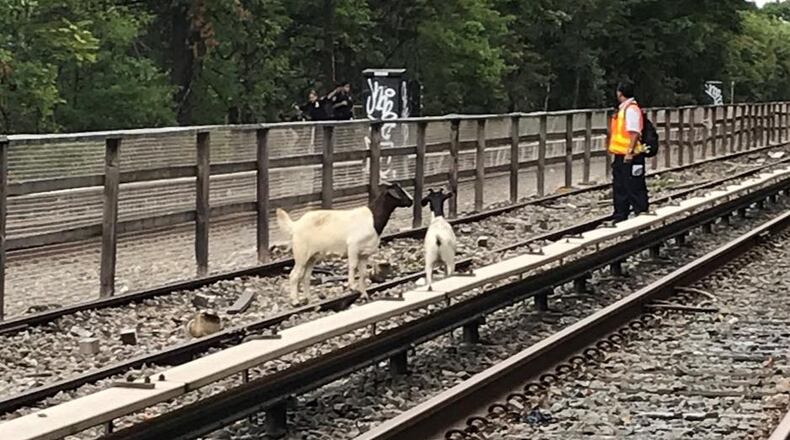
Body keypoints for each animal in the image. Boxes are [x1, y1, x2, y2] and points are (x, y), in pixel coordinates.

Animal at [276, 181, 413, 306]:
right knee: (294, 275)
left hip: (313, 256)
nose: (411, 201)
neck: (373, 219)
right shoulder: (353, 246)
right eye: (400, 192)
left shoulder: (364, 254)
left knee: (305, 276)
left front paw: (364, 295)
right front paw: (352, 286)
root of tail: (295, 225)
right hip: (301, 253)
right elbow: (352, 266)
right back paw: (295, 301)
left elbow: (363, 273)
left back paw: (309, 300)